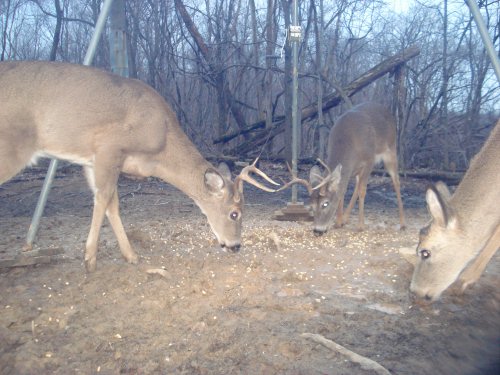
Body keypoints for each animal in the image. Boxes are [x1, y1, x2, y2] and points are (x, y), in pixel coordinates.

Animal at [0, 61, 280, 274]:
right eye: (234, 213)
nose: (236, 245)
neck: (160, 144)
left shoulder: (93, 161)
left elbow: (112, 204)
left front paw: (131, 255)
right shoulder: (108, 147)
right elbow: (103, 199)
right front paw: (89, 258)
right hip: (11, 146)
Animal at [308, 100, 406, 235]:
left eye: (325, 204)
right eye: (311, 205)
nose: (317, 230)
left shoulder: (369, 160)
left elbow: (362, 190)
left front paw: (360, 226)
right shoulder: (351, 168)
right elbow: (343, 191)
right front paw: (338, 222)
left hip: (391, 151)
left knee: (396, 181)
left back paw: (402, 224)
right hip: (359, 169)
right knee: (357, 186)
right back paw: (345, 219)